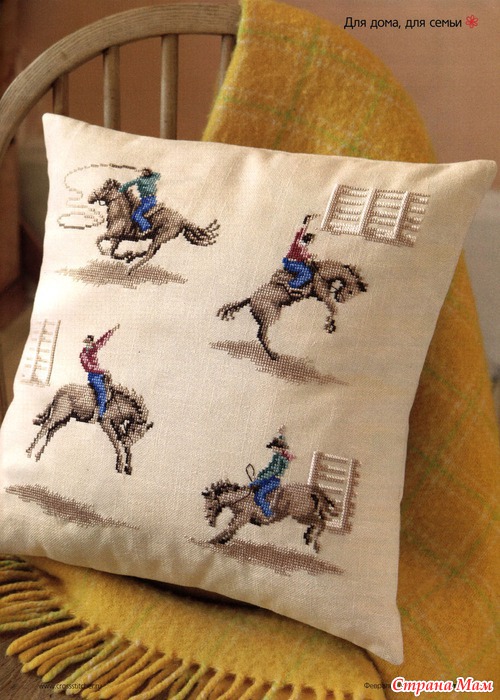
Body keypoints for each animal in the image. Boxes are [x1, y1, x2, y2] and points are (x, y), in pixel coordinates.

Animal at [88, 179, 220, 274]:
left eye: (104, 188)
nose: (90, 197)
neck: (121, 213)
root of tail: (182, 220)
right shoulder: (117, 237)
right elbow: (111, 251)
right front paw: (125, 255)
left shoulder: (113, 233)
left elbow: (99, 242)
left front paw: (123, 255)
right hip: (158, 237)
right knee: (149, 251)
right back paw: (132, 256)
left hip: (161, 236)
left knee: (150, 254)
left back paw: (130, 269)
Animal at [202, 479, 339, 553]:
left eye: (210, 507)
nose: (210, 523)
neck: (241, 498)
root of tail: (312, 489)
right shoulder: (241, 517)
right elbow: (231, 528)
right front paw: (222, 540)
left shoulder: (243, 516)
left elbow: (230, 527)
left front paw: (214, 540)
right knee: (319, 523)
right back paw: (309, 537)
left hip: (301, 515)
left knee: (320, 523)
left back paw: (313, 541)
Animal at [217, 259, 367, 360]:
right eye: (350, 292)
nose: (340, 298)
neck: (321, 272)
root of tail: (251, 298)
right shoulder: (322, 293)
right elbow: (333, 309)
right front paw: (330, 324)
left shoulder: (320, 295)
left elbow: (332, 309)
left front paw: (330, 324)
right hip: (271, 315)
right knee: (262, 334)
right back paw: (273, 355)